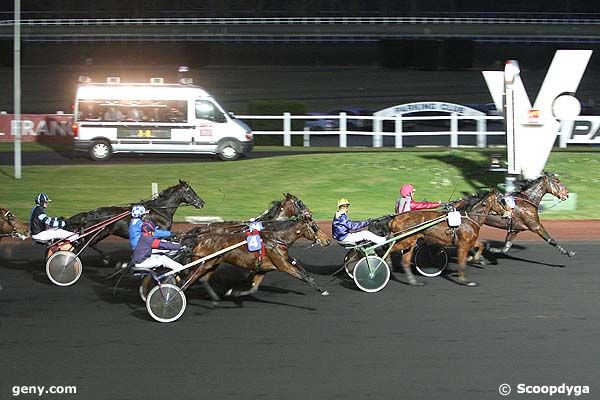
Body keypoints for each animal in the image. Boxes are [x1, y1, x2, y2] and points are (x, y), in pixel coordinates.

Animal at [65, 180, 205, 262]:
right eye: (192, 192)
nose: (202, 203)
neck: (159, 211)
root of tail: (91, 213)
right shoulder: (159, 233)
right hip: (96, 233)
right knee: (81, 247)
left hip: (102, 233)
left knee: (89, 245)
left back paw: (105, 258)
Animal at [182, 216, 330, 300]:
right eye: (315, 227)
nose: (328, 240)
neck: (277, 239)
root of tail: (200, 238)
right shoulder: (282, 265)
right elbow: (302, 276)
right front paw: (322, 290)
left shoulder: (263, 268)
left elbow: (253, 288)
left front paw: (233, 292)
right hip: (204, 263)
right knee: (188, 279)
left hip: (212, 264)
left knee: (203, 279)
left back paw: (214, 298)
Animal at [370, 189, 510, 286]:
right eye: (501, 201)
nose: (508, 213)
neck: (469, 218)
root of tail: (394, 219)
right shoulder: (463, 245)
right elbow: (462, 263)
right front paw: (464, 280)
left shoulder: (469, 242)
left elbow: (481, 245)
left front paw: (475, 258)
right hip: (406, 241)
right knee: (386, 247)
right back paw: (382, 265)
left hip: (410, 242)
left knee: (404, 261)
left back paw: (413, 282)